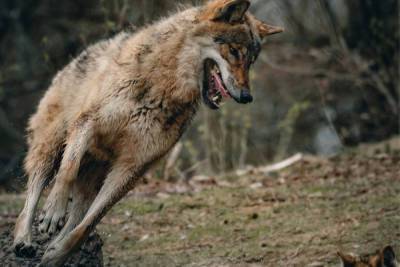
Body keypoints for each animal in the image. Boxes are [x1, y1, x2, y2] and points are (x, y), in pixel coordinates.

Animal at [11, 0, 282, 266]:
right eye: (234, 51)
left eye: (252, 61)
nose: (247, 97)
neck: (162, 87)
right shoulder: (87, 124)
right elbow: (67, 171)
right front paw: (53, 212)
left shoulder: (133, 168)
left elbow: (87, 225)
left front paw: (56, 255)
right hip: (50, 149)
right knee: (31, 197)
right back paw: (23, 240)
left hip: (93, 179)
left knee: (77, 215)